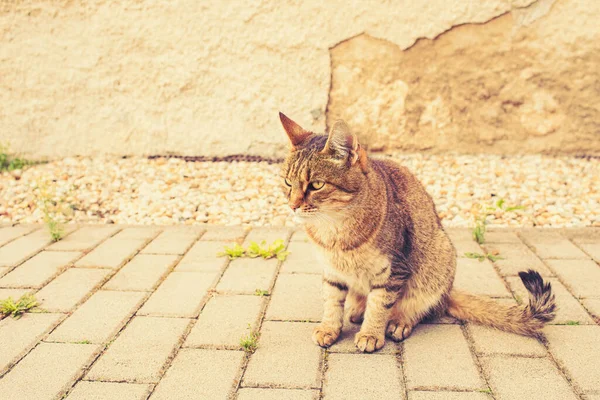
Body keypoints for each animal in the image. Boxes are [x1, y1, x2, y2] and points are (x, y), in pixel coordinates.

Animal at [278, 112, 556, 354]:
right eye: (287, 182)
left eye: (316, 185)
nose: (292, 205)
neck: (333, 230)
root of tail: (448, 291)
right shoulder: (332, 272)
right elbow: (332, 302)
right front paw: (329, 328)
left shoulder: (393, 270)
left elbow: (379, 305)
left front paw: (371, 334)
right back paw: (357, 309)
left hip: (438, 262)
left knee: (422, 307)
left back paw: (399, 321)